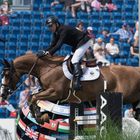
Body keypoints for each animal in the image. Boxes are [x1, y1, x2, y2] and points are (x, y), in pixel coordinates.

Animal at [0, 52, 140, 123]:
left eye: (7, 75)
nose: (3, 94)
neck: (46, 68)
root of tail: (136, 70)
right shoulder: (53, 96)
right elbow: (32, 97)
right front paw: (40, 115)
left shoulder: (54, 93)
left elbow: (33, 97)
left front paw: (38, 116)